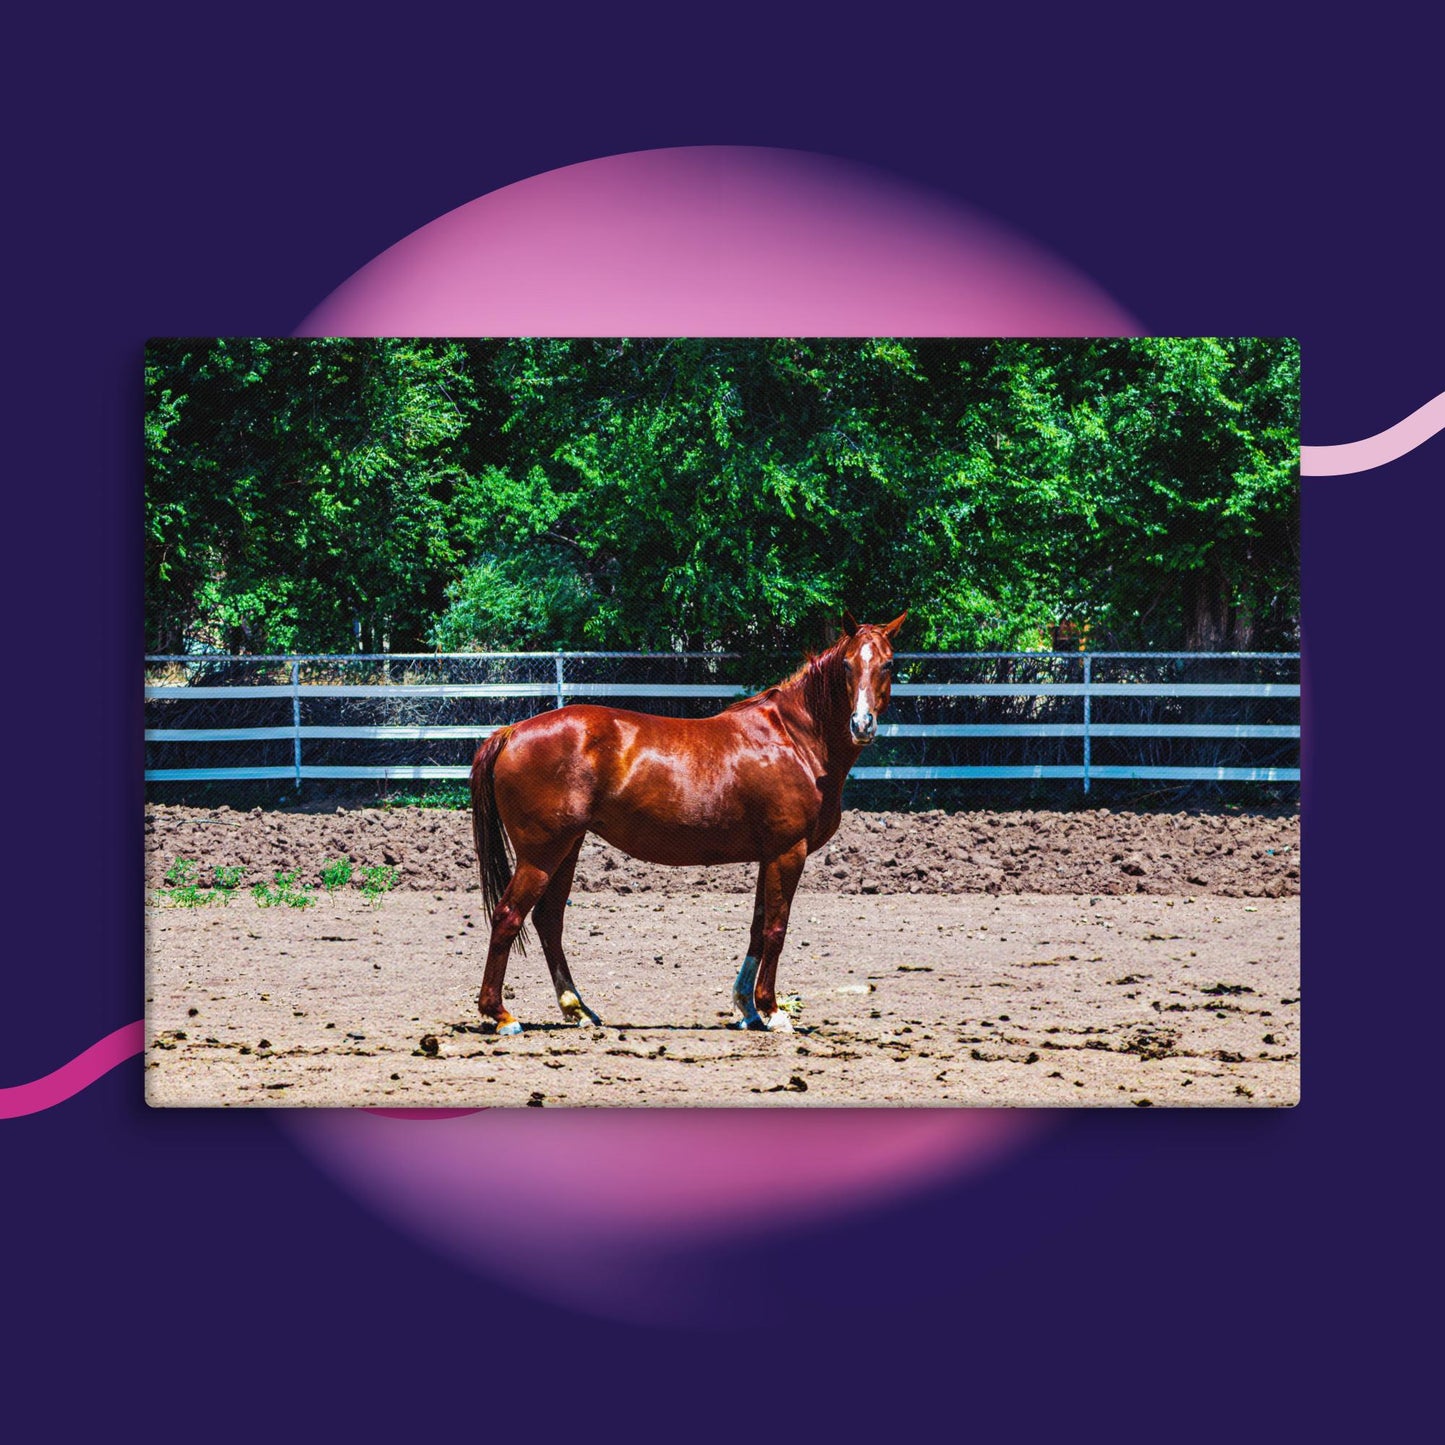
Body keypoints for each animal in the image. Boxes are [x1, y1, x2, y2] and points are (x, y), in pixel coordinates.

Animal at [468, 611, 907, 1035]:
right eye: (847, 664)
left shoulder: (768, 856)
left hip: (566, 849)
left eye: (887, 664)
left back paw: (578, 1010)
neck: (794, 740)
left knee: (548, 921)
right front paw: (772, 1011)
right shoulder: (787, 852)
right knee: (508, 916)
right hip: (541, 854)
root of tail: (511, 732)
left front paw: (747, 1008)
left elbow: (757, 927)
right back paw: (502, 1015)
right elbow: (775, 930)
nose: (862, 724)